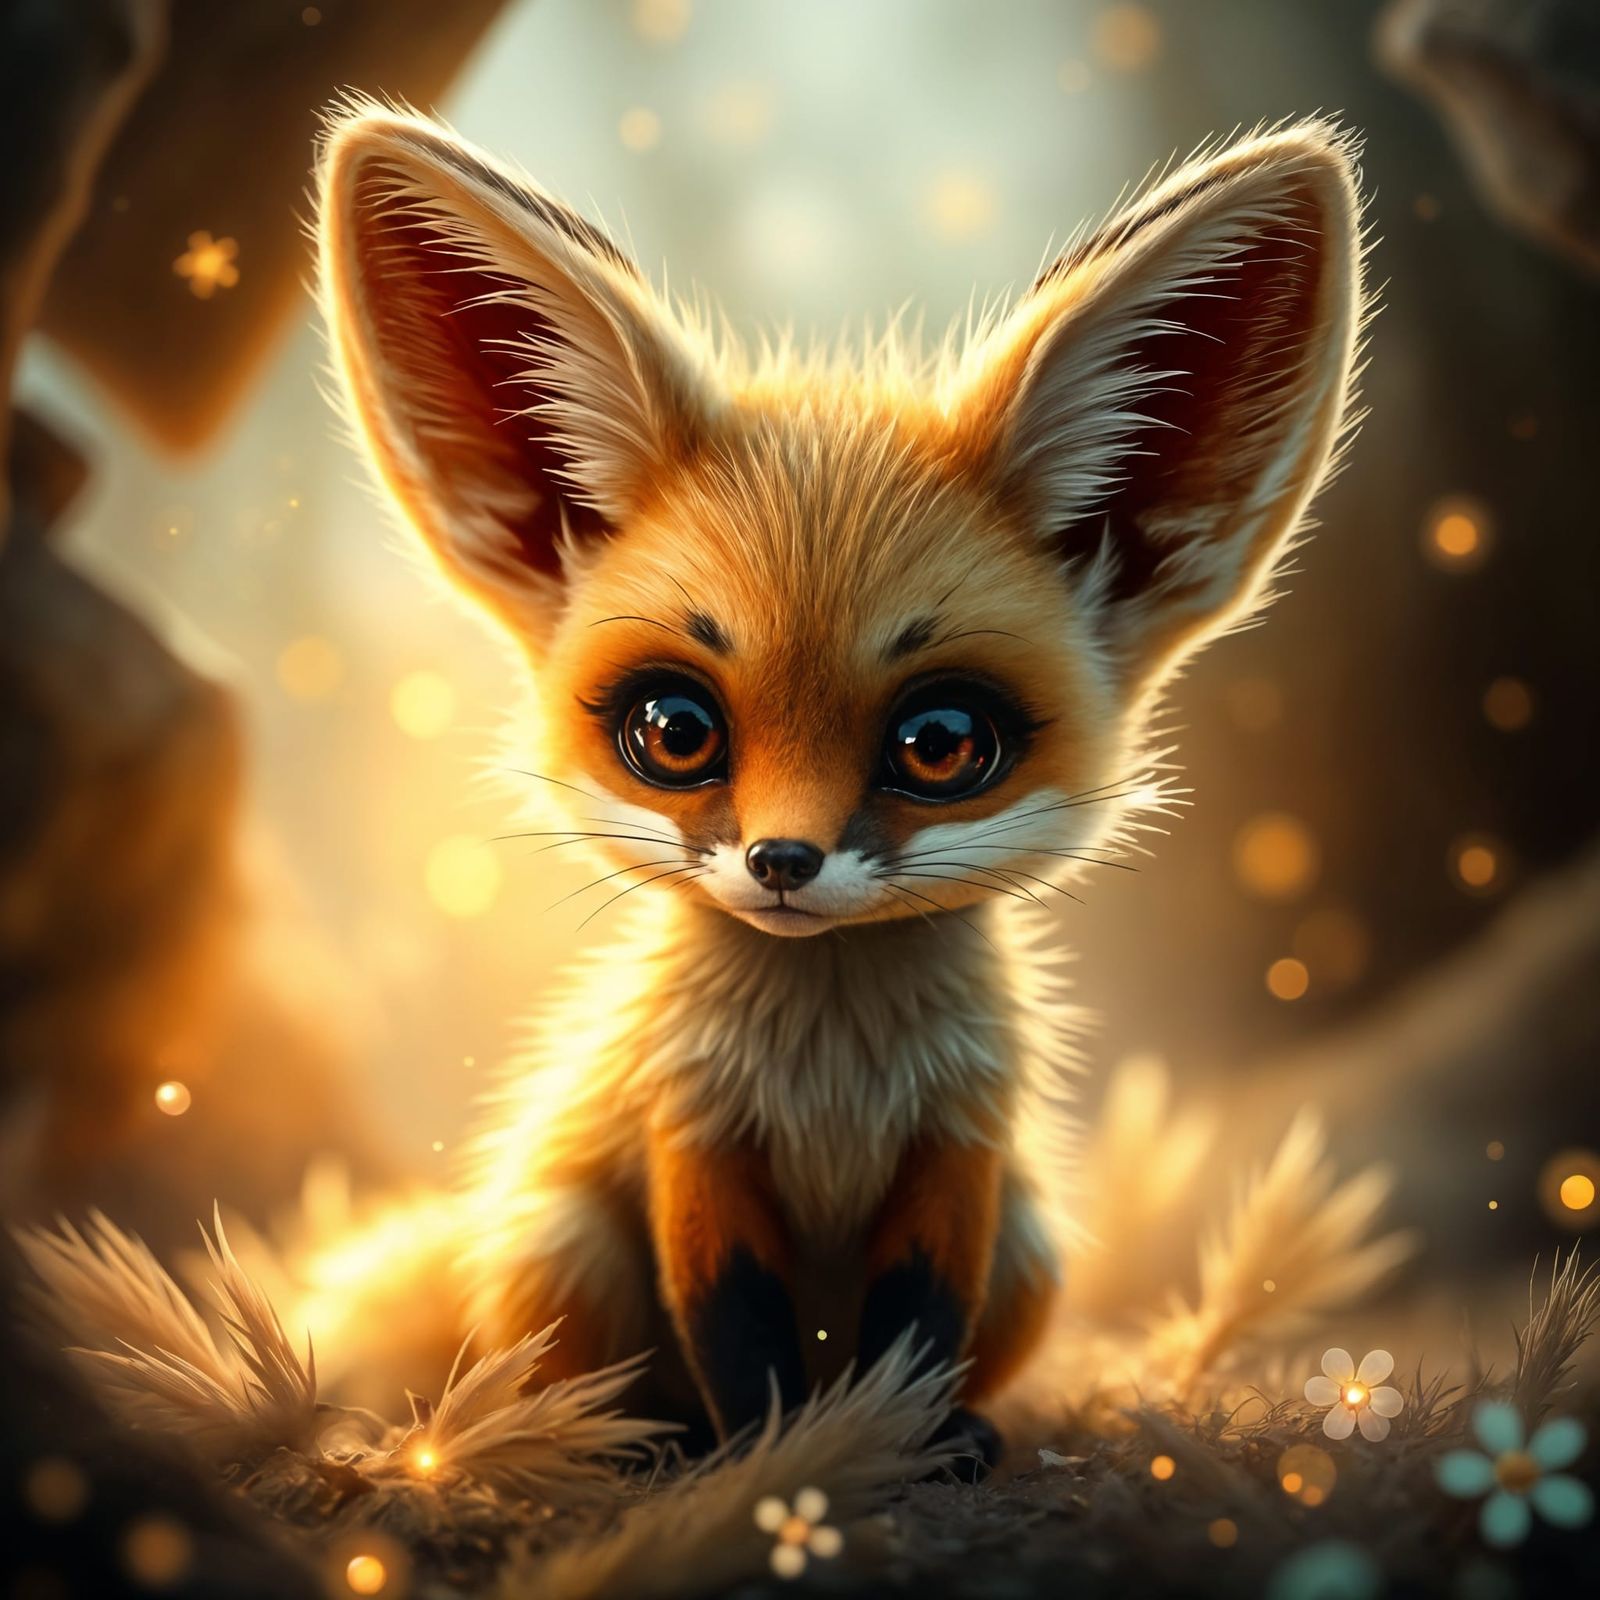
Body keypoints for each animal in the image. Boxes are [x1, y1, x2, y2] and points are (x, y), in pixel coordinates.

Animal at [315, 103, 1364, 1471]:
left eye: (940, 742)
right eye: (673, 729)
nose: (782, 862)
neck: (832, 1073)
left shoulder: (960, 1148)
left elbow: (915, 1328)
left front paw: (896, 1444)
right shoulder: (693, 1141)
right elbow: (738, 1331)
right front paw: (780, 1460)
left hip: (1032, 1243)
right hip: (562, 1244)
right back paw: (638, 1444)